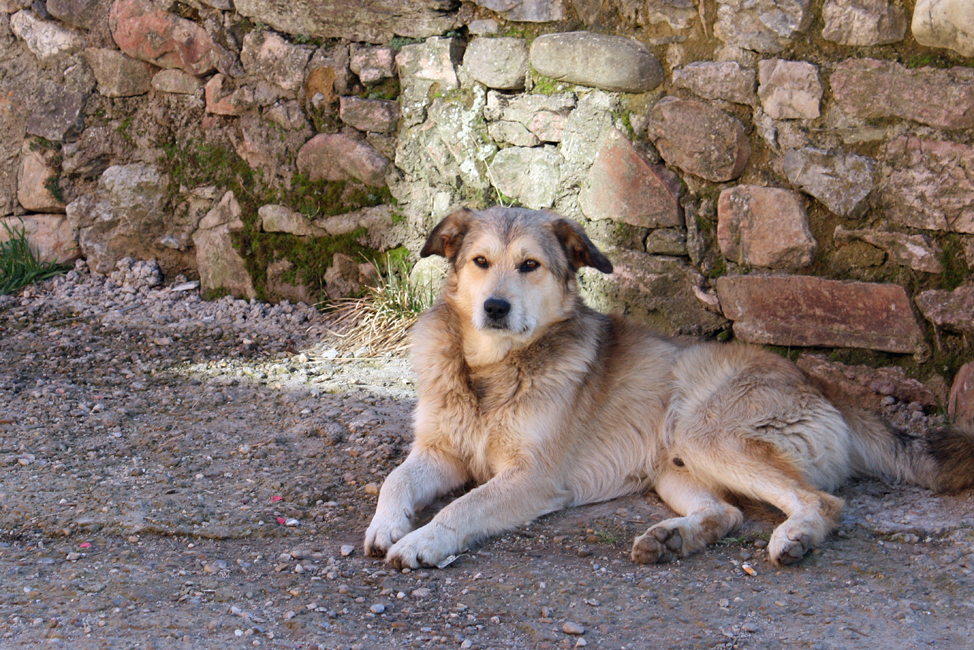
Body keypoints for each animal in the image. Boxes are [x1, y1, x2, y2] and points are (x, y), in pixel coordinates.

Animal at [364, 205, 974, 564]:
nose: (494, 307)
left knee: (821, 500)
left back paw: (795, 538)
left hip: (707, 434)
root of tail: (821, 382)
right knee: (727, 513)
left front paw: (423, 541)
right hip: (673, 466)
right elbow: (395, 480)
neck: (490, 372)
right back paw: (673, 538)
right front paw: (388, 526)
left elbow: (463, 508)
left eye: (530, 265)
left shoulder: (532, 477)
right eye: (480, 261)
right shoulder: (440, 453)